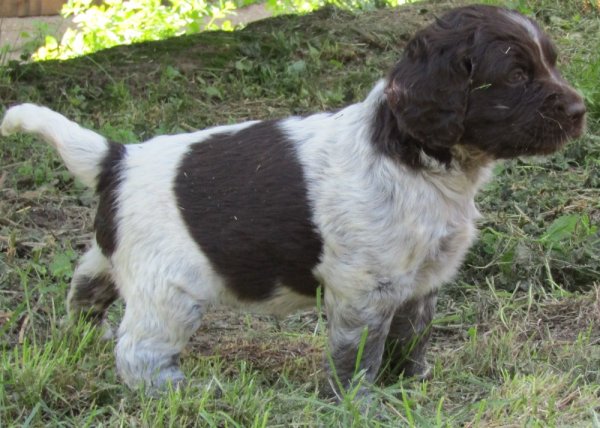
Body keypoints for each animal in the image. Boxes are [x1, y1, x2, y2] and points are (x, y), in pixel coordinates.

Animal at [1, 5, 586, 396]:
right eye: (516, 75)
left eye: (551, 64)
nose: (581, 110)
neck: (414, 158)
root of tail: (117, 158)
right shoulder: (362, 289)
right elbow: (358, 354)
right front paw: (358, 402)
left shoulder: (421, 281)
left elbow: (411, 338)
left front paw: (412, 386)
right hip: (169, 289)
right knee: (139, 351)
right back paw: (178, 391)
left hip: (117, 259)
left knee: (84, 290)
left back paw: (82, 341)